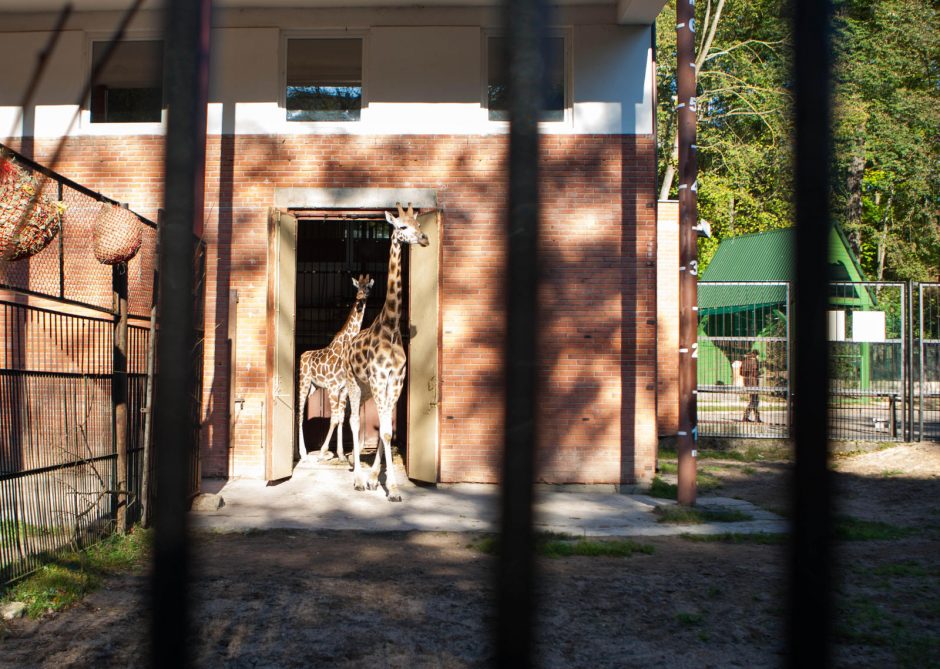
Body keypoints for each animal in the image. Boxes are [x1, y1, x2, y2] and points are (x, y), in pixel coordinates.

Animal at [346, 204, 432, 500]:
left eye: (417, 224)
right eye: (402, 227)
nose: (424, 238)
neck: (391, 326)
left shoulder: (395, 381)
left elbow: (388, 431)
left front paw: (379, 480)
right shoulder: (379, 378)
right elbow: (382, 432)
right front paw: (390, 488)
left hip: (366, 389)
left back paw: (367, 478)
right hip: (354, 383)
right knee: (353, 421)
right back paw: (358, 480)